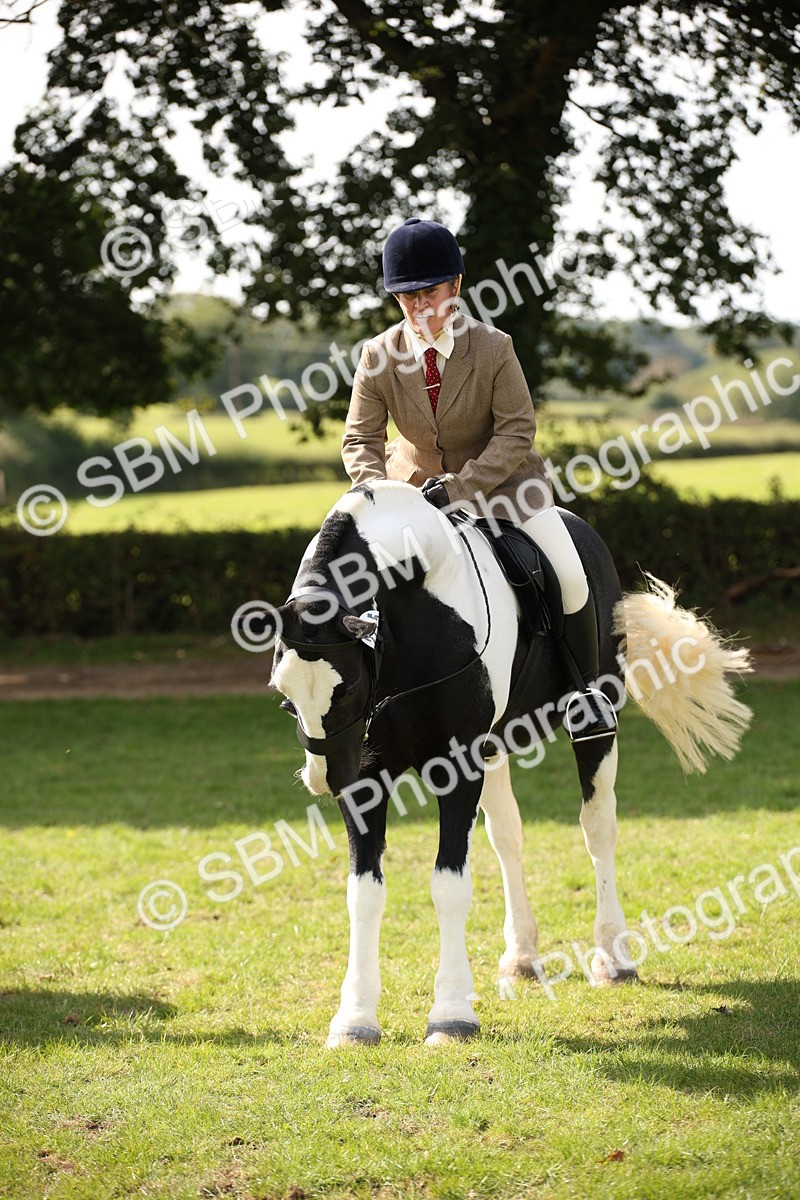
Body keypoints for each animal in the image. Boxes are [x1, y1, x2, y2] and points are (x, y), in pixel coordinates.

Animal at [265, 480, 751, 1046]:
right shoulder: (370, 780)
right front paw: (355, 1018)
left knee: (598, 829)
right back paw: (522, 956)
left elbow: (449, 884)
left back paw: (614, 956)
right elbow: (364, 891)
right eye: (284, 695)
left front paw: (452, 1012)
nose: (327, 780)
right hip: (493, 747)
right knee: (508, 838)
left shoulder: (455, 766)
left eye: (347, 690)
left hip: (596, 721)